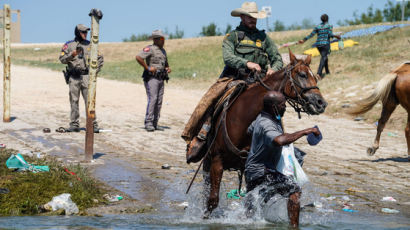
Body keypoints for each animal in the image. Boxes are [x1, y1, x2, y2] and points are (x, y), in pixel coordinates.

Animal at [202, 49, 326, 217]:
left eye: (315, 77)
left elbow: (252, 204)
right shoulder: (217, 160)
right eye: (302, 75)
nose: (321, 103)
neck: (243, 117)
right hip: (208, 161)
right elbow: (212, 200)